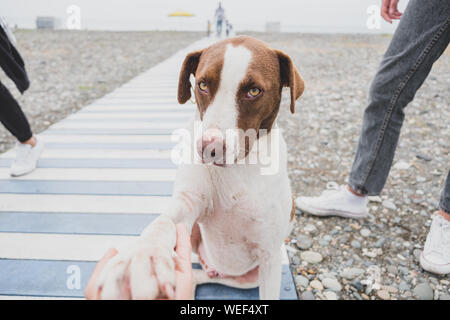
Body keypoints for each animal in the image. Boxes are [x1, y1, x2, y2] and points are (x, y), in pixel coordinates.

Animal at [96, 36, 304, 302]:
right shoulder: (189, 201)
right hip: (194, 232)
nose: (210, 147)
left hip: (250, 277)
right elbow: (163, 223)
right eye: (203, 85)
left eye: (254, 91)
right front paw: (141, 258)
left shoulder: (269, 255)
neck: (238, 168)